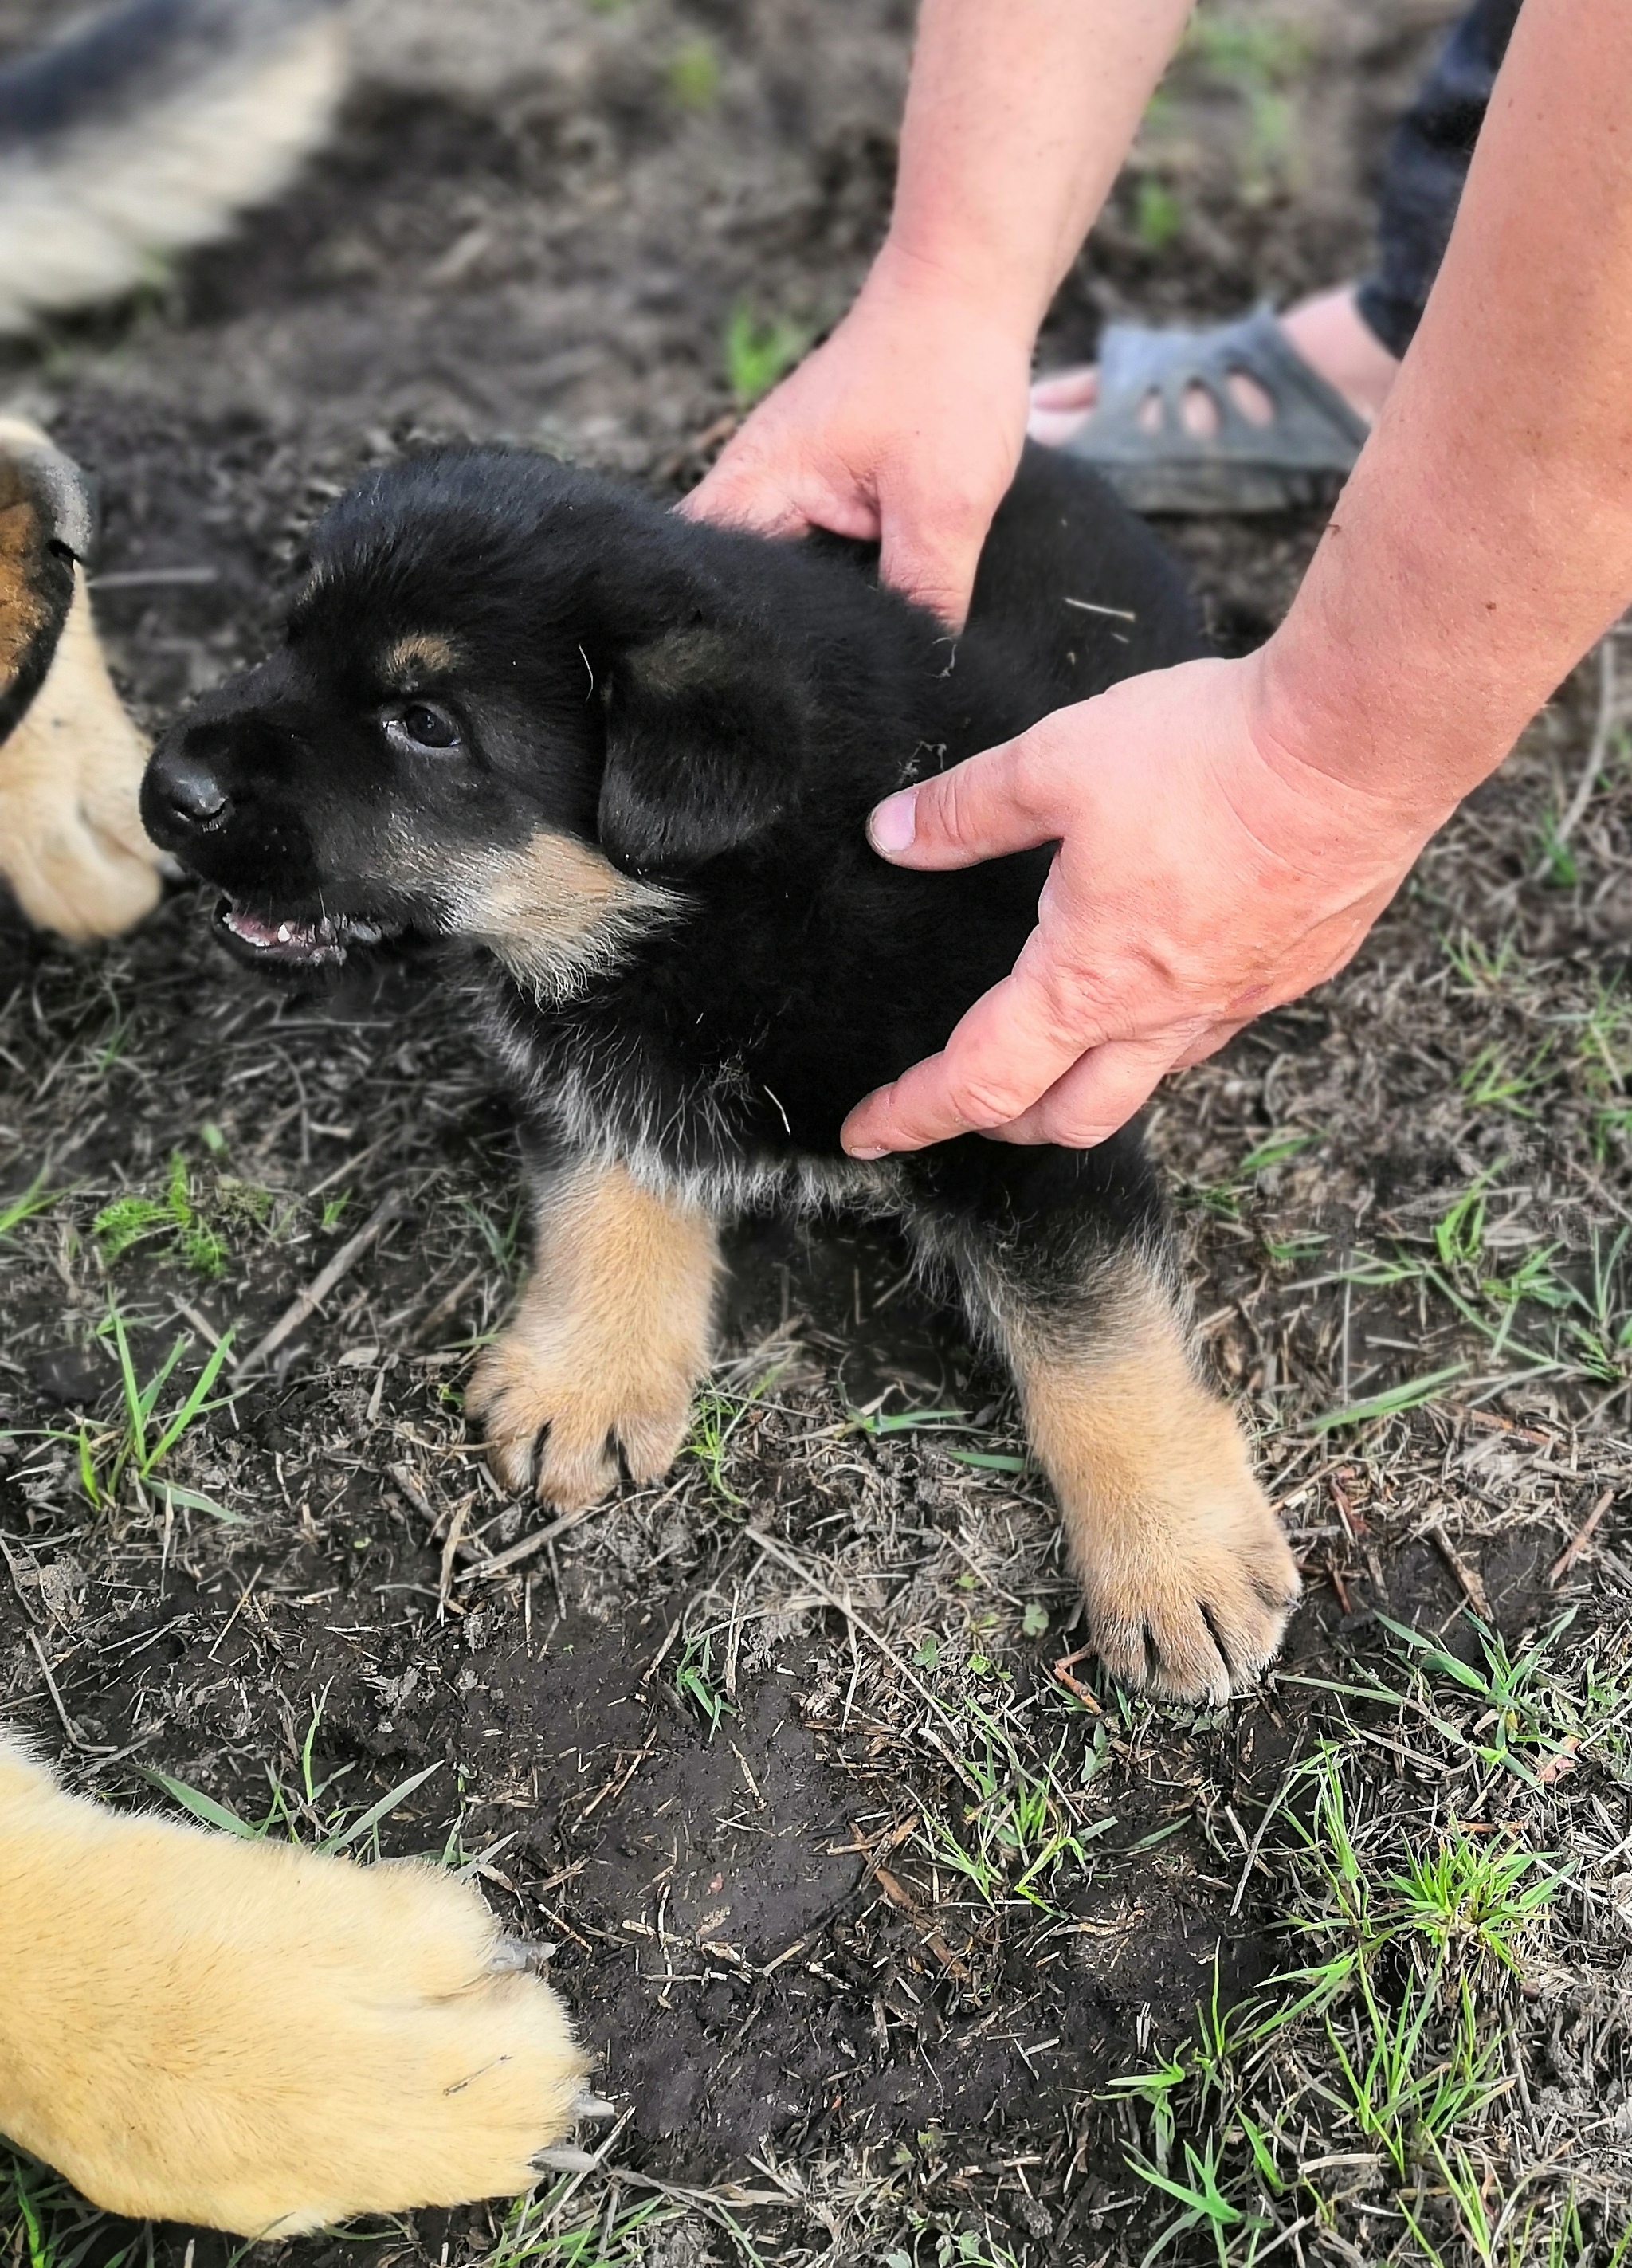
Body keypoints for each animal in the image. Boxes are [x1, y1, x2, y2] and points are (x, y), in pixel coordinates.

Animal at [146, 438, 1305, 1705]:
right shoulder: (596, 1045)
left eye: (426, 722)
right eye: (289, 636)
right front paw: (589, 1375)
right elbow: (609, 1170)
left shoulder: (1030, 1098)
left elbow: (1098, 1329)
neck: (735, 893)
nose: (164, 789)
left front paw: (1175, 1559)